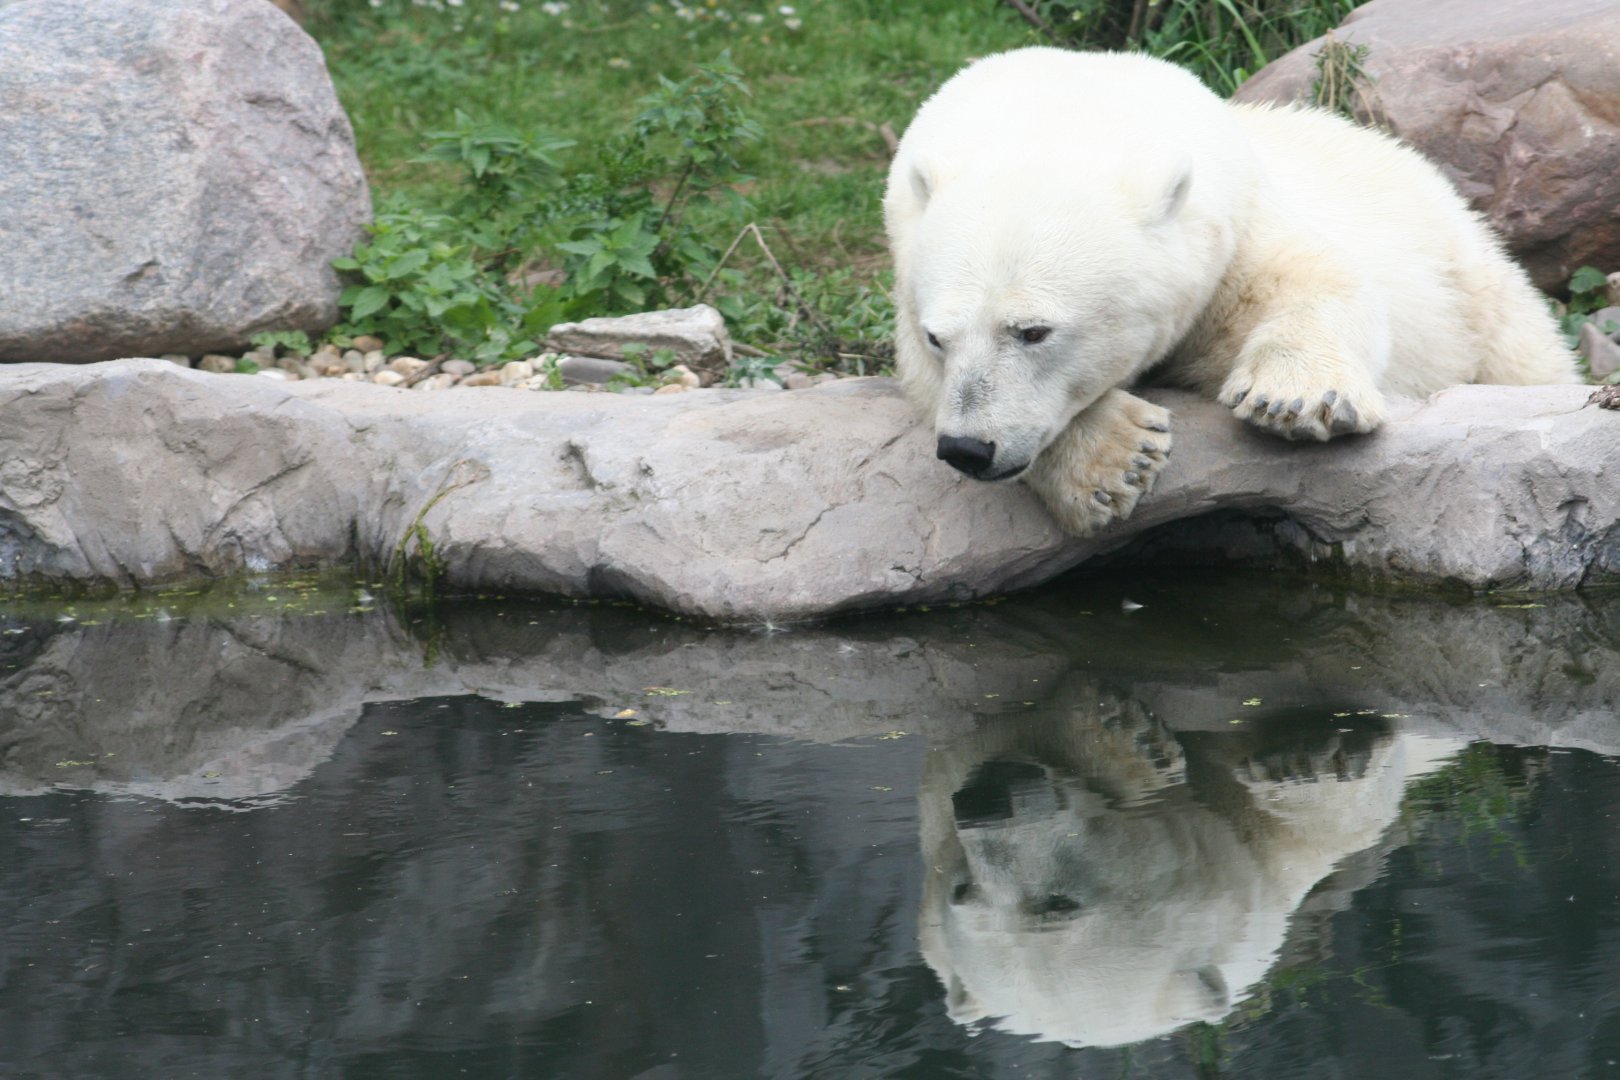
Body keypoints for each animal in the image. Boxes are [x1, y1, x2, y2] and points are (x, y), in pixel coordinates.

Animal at [884, 48, 1580, 536]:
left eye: (1033, 331)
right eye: (938, 337)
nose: (968, 450)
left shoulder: (1233, 231)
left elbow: (1320, 277)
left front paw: (1295, 397)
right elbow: (920, 382)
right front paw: (1109, 462)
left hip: (1473, 284)